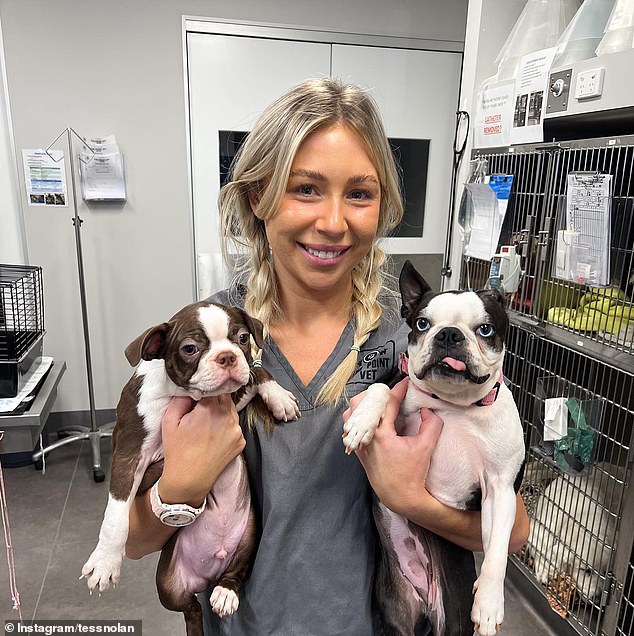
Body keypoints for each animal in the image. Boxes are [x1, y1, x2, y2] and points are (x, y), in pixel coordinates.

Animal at [81, 302, 298, 636]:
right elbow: (116, 514)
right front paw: (105, 561)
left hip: (250, 533)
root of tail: (207, 576)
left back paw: (224, 592)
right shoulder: (129, 454)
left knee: (234, 572)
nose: (228, 356)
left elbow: (255, 372)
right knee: (190, 607)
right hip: (167, 585)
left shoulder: (232, 394)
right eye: (190, 349)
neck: (185, 395)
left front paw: (280, 398)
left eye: (242, 338)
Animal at [344, 262, 520, 636]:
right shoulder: (399, 381)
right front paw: (363, 421)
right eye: (422, 324)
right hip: (396, 610)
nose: (449, 334)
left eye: (485, 329)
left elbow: (497, 549)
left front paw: (489, 603)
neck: (453, 405)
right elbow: (383, 387)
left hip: (452, 616)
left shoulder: (501, 488)